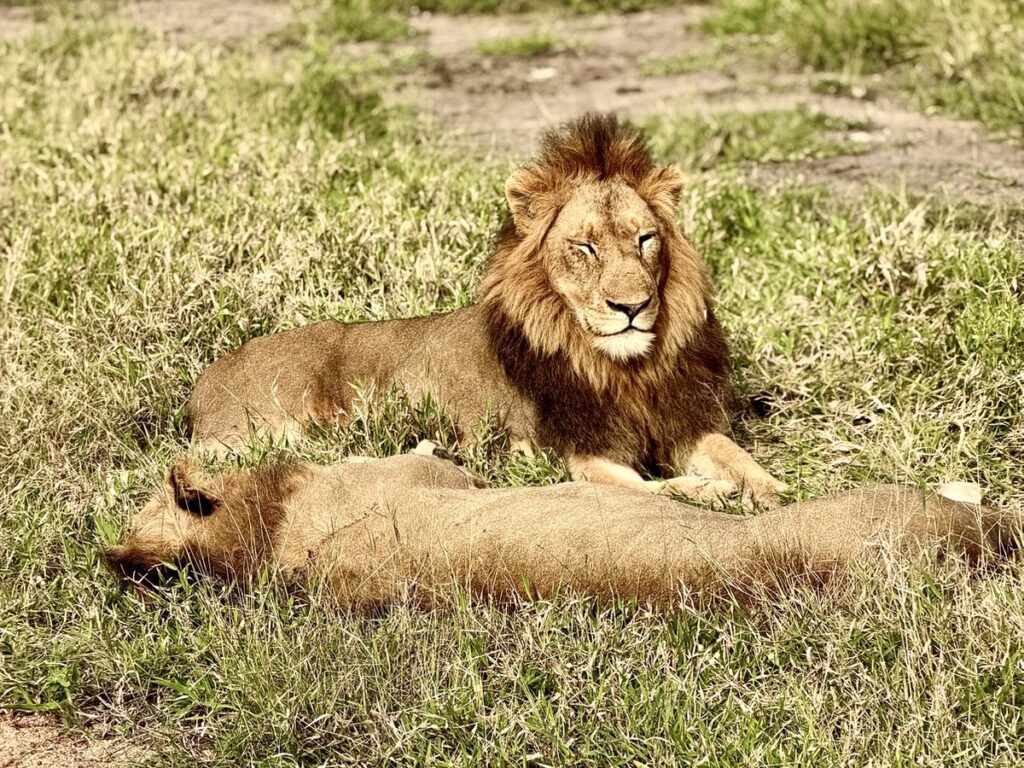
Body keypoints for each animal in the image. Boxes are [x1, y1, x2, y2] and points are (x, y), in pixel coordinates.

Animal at [188, 114, 784, 501]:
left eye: (645, 239)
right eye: (585, 247)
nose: (632, 307)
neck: (625, 371)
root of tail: (204, 382)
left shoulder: (683, 424)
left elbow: (734, 455)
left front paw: (773, 488)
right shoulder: (581, 453)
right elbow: (651, 488)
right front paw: (711, 491)